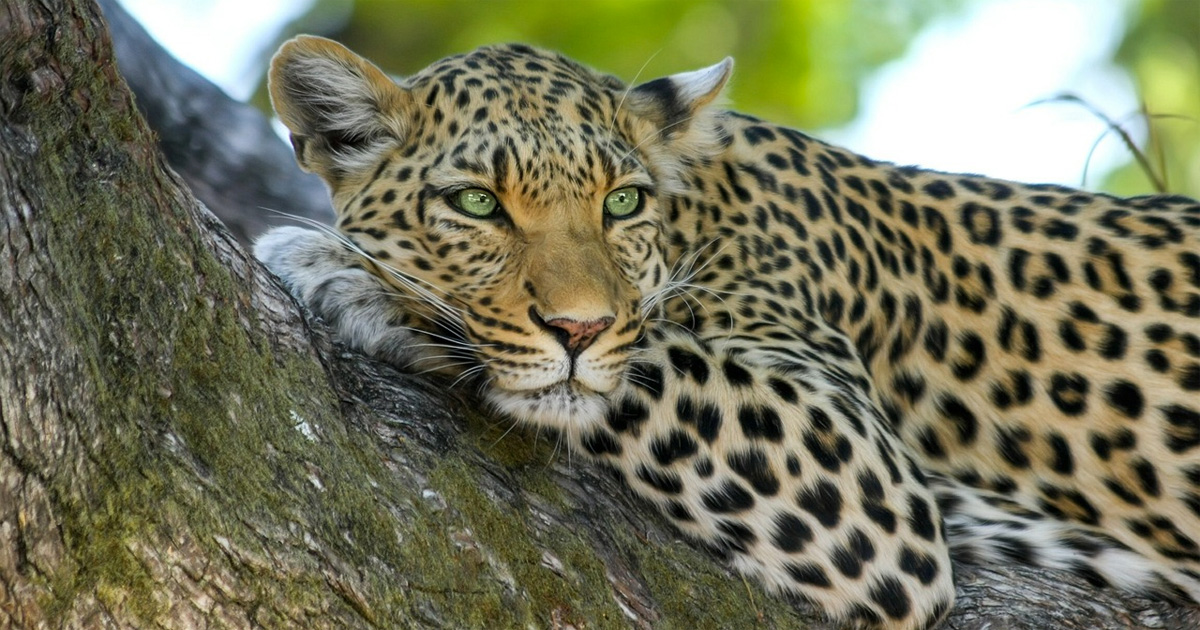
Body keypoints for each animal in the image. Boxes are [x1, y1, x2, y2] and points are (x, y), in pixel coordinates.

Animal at [250, 35, 1200, 628]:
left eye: (621, 202)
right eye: (478, 204)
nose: (578, 327)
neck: (700, 212)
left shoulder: (863, 476)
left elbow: (645, 360)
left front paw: (347, 273)